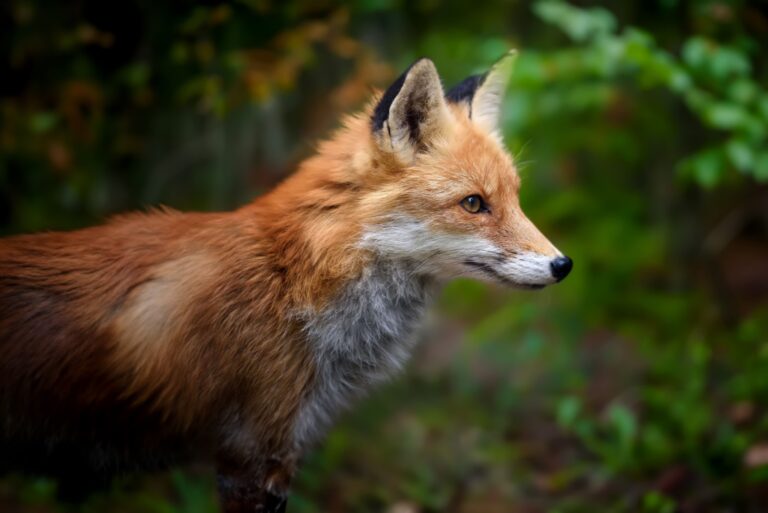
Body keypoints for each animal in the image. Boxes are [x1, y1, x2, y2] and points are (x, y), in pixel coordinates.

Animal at [0, 52, 572, 512]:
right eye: (474, 203)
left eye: (515, 198)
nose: (562, 265)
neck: (295, 279)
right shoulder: (251, 454)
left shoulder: (277, 451)